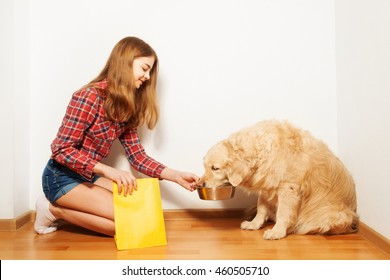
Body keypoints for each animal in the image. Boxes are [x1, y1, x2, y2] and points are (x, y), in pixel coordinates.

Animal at [200, 119, 358, 240]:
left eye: (215, 168)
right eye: (205, 166)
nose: (201, 183)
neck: (261, 150)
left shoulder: (288, 188)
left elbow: (283, 213)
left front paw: (277, 232)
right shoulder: (266, 185)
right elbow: (261, 209)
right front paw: (254, 224)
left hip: (331, 215)